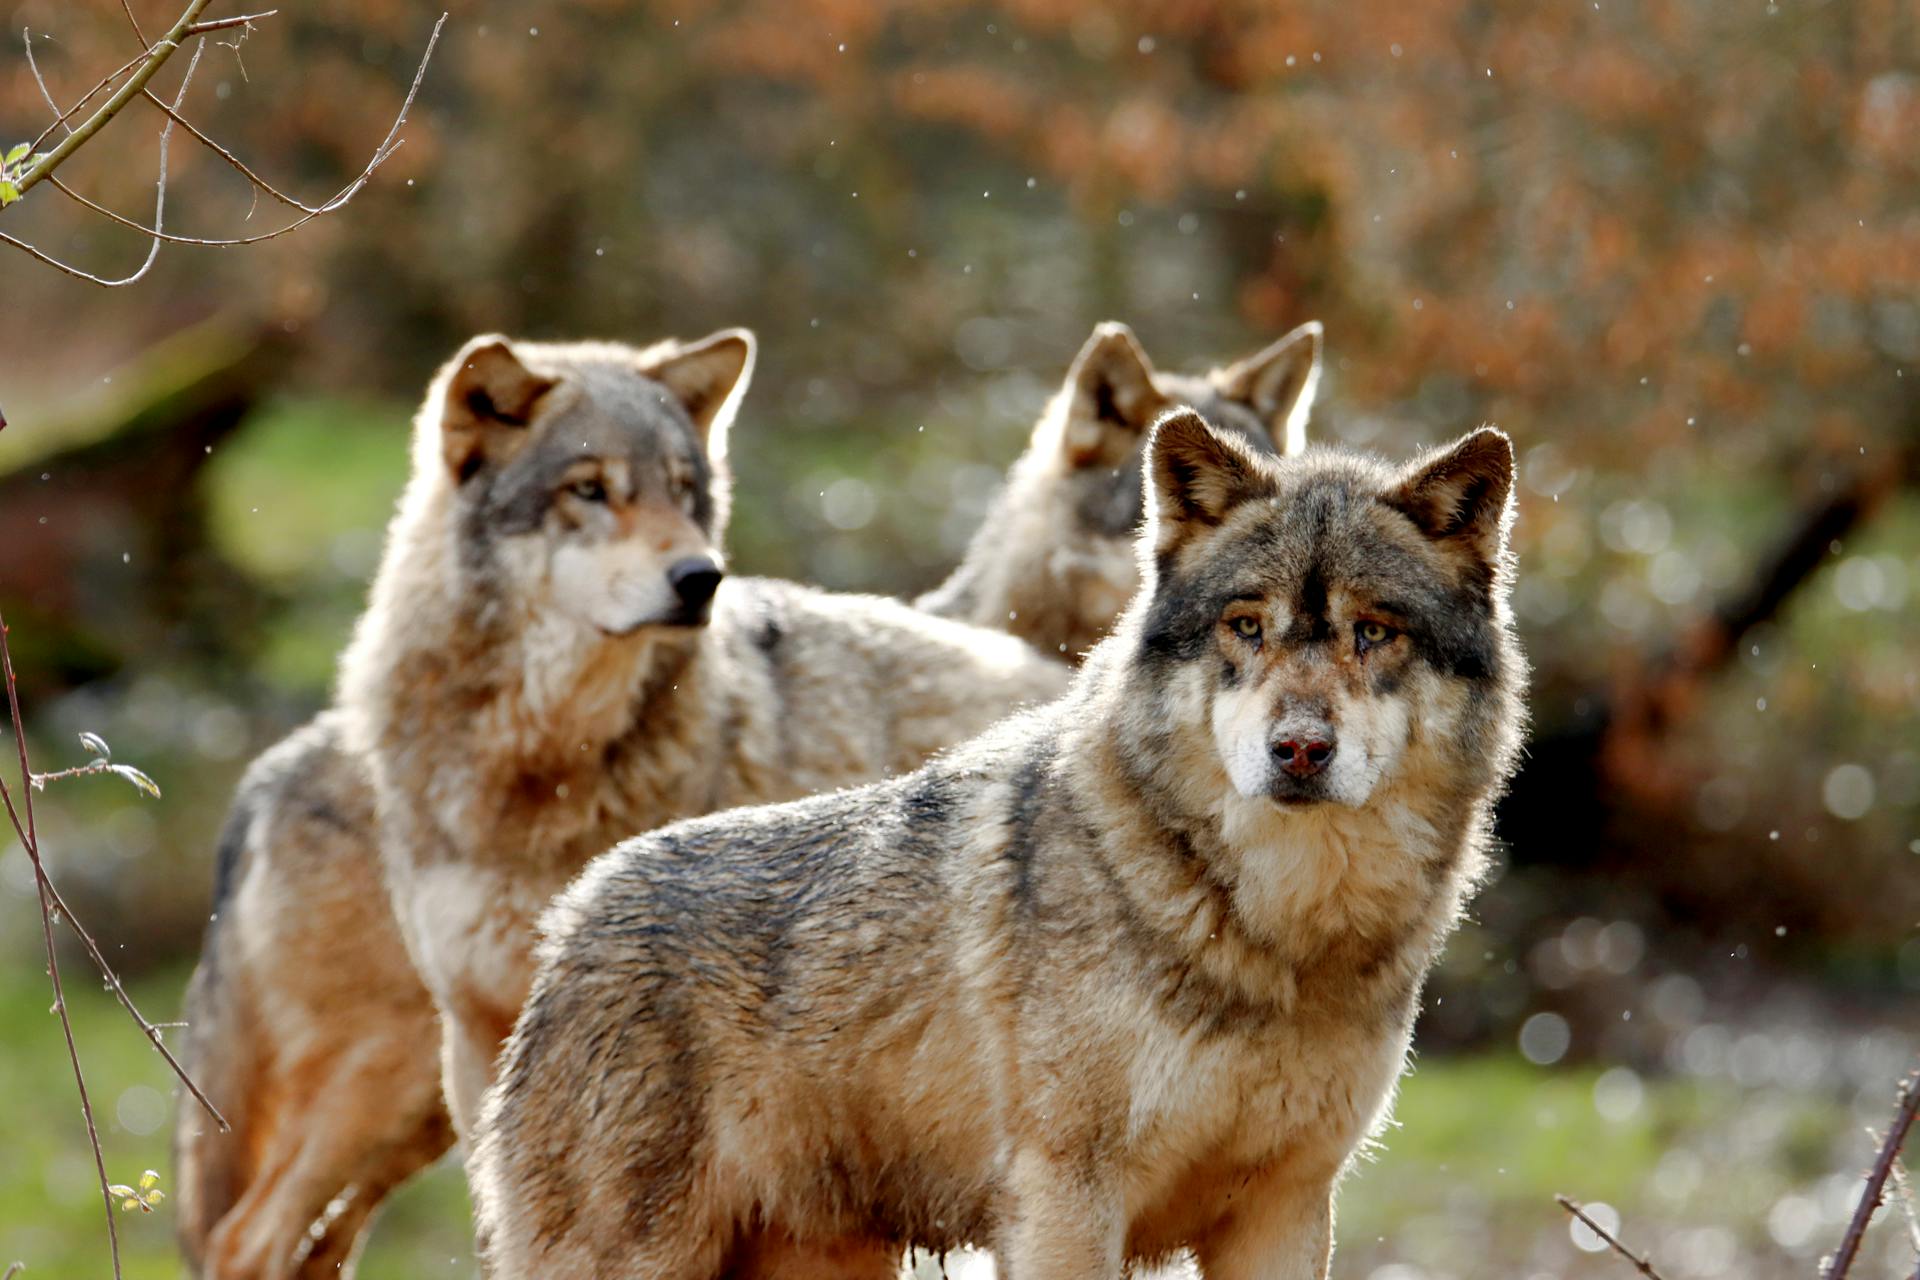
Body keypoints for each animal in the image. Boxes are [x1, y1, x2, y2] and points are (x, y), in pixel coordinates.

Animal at [472, 410, 1520, 1280]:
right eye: (1246, 626)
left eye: (1373, 632)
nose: (1299, 750)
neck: (1275, 938)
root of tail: (575, 913)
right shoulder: (1064, 1200)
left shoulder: (1287, 1208)